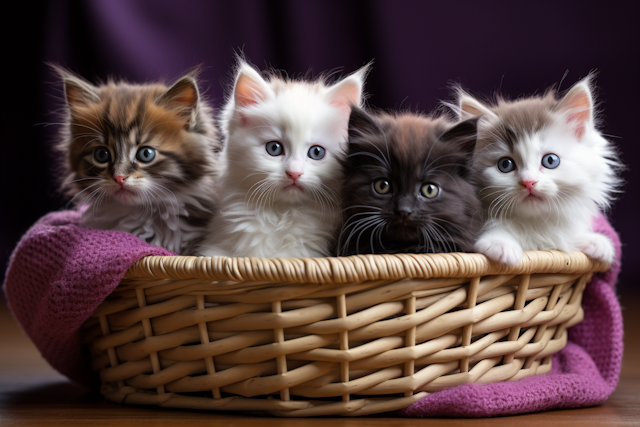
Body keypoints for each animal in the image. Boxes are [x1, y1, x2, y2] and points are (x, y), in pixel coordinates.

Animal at [458, 75, 624, 266]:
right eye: (505, 165)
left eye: (550, 160)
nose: (529, 182)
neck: (535, 224)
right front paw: (500, 243)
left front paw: (594, 241)